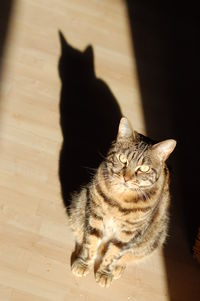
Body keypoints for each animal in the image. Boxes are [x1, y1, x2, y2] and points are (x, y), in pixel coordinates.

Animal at [68, 115, 176, 286]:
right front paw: (84, 262)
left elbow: (114, 253)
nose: (126, 178)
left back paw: (118, 268)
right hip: (80, 202)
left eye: (144, 168)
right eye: (123, 158)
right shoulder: (95, 214)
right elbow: (91, 241)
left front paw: (105, 273)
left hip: (155, 238)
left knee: (127, 257)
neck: (119, 200)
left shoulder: (129, 233)